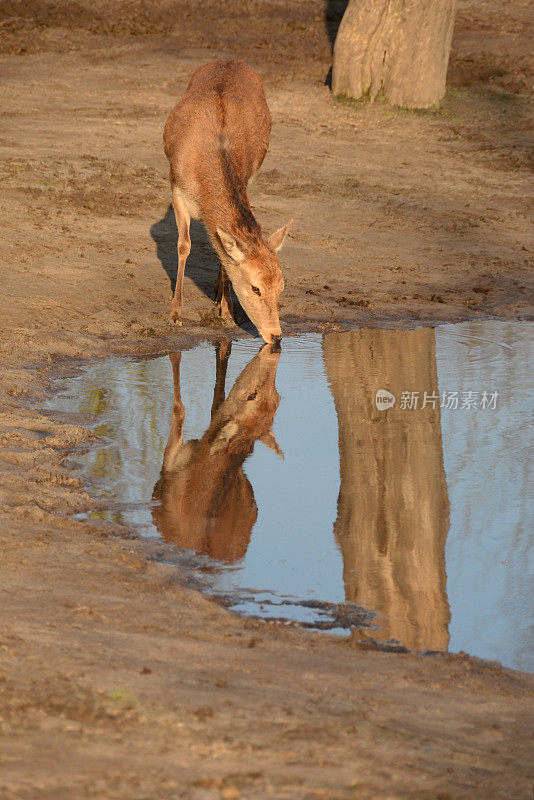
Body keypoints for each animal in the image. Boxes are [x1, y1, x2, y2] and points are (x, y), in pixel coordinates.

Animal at [165, 57, 296, 342]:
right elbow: (183, 245)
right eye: (255, 288)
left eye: (281, 287)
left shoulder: (246, 178)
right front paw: (176, 314)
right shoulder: (176, 187)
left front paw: (226, 312)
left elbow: (223, 252)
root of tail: (230, 59)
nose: (276, 336)